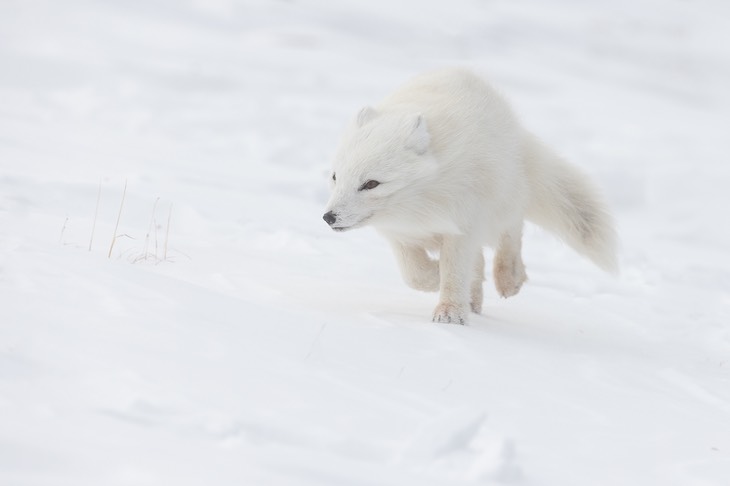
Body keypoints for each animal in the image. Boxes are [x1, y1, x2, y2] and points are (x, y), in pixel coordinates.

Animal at [322, 68, 616, 324]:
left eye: (371, 184)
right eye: (335, 176)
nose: (329, 217)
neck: (419, 207)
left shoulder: (463, 225)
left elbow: (453, 271)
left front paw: (449, 312)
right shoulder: (399, 235)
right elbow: (414, 275)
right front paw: (438, 282)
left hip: (504, 202)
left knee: (511, 232)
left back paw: (508, 278)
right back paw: (474, 299)